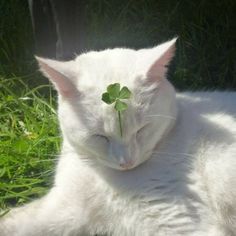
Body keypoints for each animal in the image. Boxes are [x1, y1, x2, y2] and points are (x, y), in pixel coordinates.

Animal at [0, 39, 236, 236]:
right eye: (100, 136)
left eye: (141, 130)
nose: (126, 162)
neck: (102, 175)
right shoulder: (61, 209)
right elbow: (13, 220)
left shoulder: (178, 219)